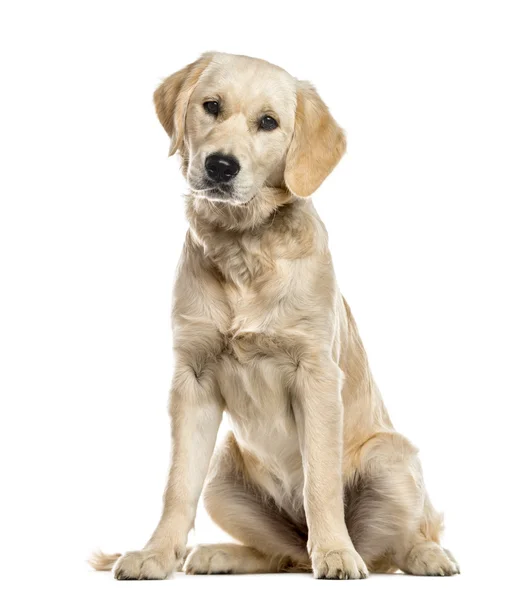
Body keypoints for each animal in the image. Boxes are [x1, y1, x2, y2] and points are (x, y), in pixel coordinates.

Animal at [89, 54, 460, 580]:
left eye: (268, 122)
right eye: (211, 106)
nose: (220, 165)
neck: (244, 250)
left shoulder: (317, 374)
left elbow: (320, 482)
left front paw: (336, 553)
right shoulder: (192, 378)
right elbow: (176, 486)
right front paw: (156, 554)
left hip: (392, 456)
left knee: (396, 545)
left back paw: (421, 555)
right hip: (223, 470)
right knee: (282, 554)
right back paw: (219, 554)